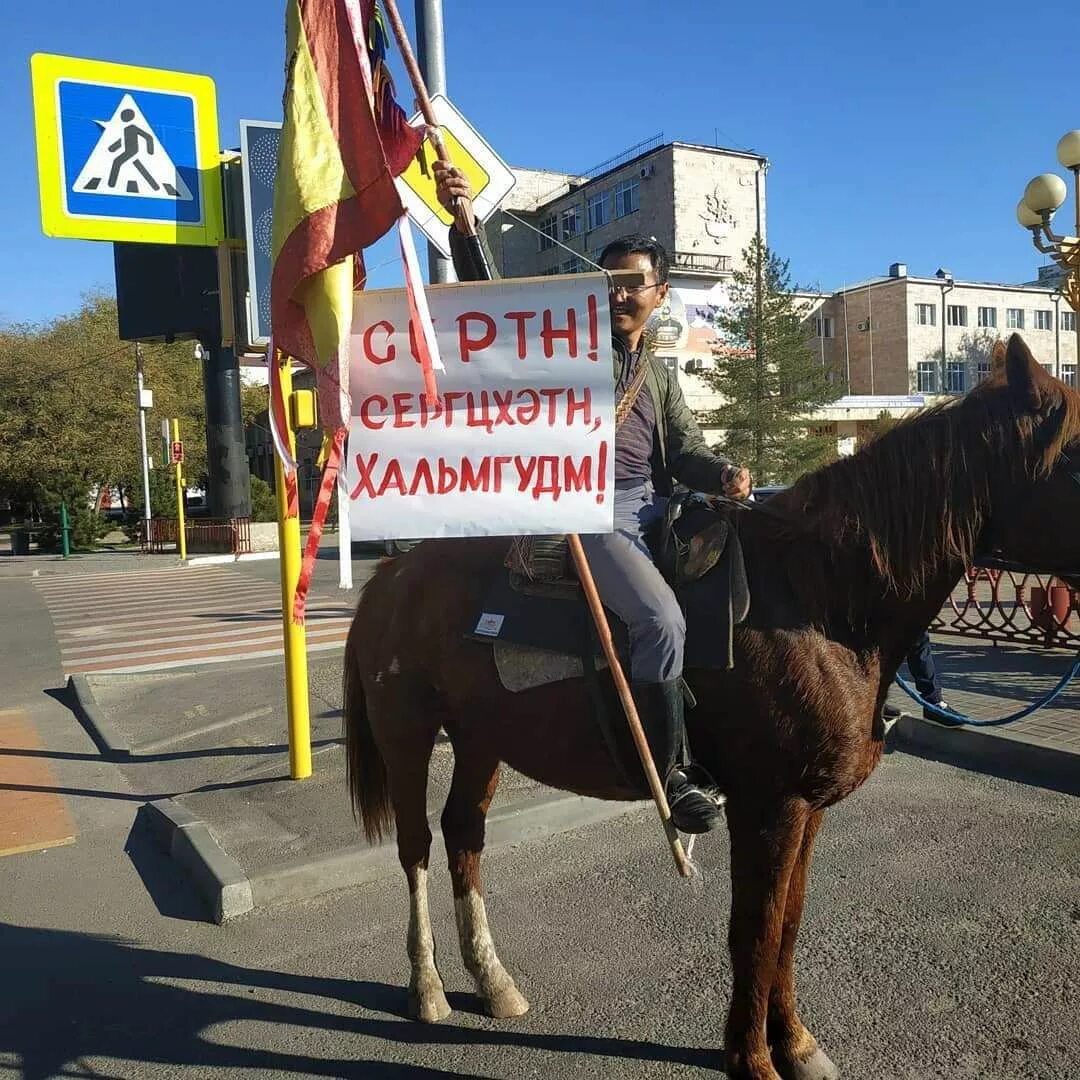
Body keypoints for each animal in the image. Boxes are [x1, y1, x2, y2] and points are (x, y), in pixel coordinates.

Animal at [343, 332, 1080, 1075]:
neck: (820, 596)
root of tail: (392, 573)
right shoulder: (769, 805)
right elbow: (754, 931)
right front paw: (752, 1058)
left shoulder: (807, 807)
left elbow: (788, 924)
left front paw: (796, 1043)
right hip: (408, 737)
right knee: (416, 846)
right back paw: (428, 988)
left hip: (481, 739)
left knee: (464, 834)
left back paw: (493, 982)